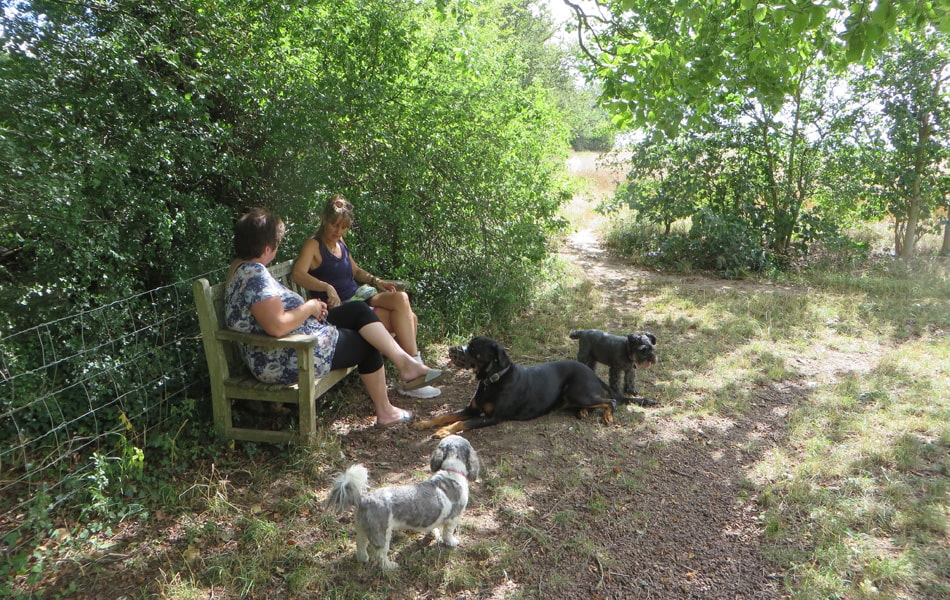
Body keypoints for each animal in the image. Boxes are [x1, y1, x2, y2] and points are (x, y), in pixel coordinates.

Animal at [328, 434, 480, 568]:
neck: (451, 472)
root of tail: (363, 499)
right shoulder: (453, 518)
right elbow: (448, 533)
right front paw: (451, 542)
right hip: (382, 533)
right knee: (380, 555)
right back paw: (390, 566)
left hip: (361, 528)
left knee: (360, 545)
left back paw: (363, 559)